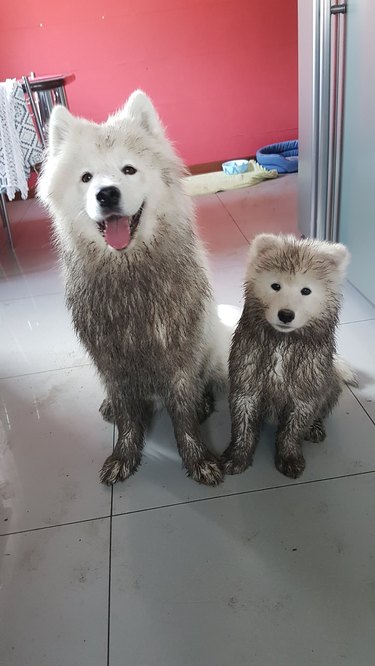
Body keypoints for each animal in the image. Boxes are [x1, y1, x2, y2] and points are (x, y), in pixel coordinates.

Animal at [222, 233, 352, 478]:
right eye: (275, 286)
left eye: (306, 290)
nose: (285, 314)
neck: (283, 343)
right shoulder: (246, 382)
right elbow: (243, 427)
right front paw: (237, 457)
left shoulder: (305, 392)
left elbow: (292, 432)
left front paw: (289, 458)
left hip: (331, 384)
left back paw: (315, 427)